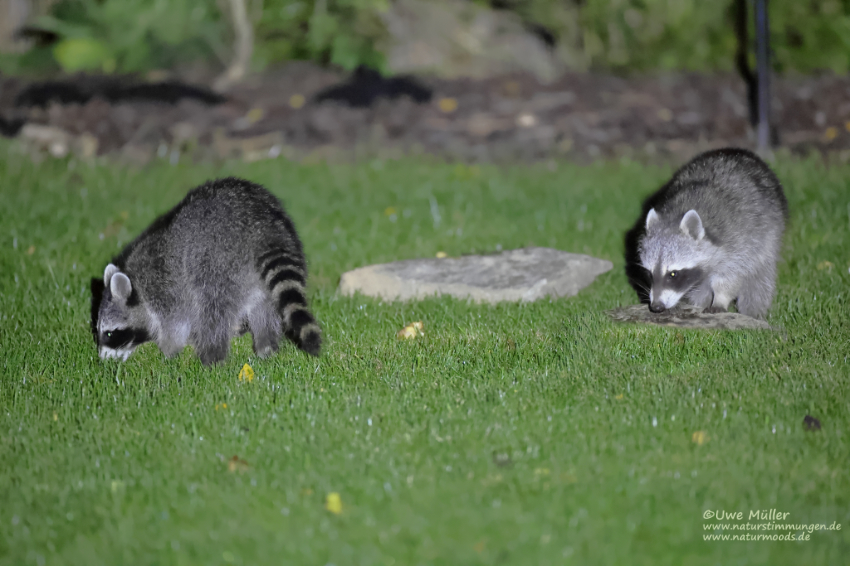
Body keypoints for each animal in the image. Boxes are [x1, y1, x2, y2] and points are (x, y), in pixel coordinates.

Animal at [93, 178, 322, 366]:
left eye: (110, 334)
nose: (102, 360)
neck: (137, 283)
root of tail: (264, 231)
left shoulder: (165, 289)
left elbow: (175, 326)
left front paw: (168, 351)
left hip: (217, 263)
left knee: (212, 309)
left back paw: (213, 356)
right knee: (264, 309)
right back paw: (266, 346)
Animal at [620, 149, 784, 320]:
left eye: (673, 274)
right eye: (649, 273)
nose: (657, 307)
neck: (675, 216)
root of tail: (736, 151)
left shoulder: (739, 242)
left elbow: (731, 276)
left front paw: (720, 299)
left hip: (769, 235)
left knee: (760, 280)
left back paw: (753, 312)